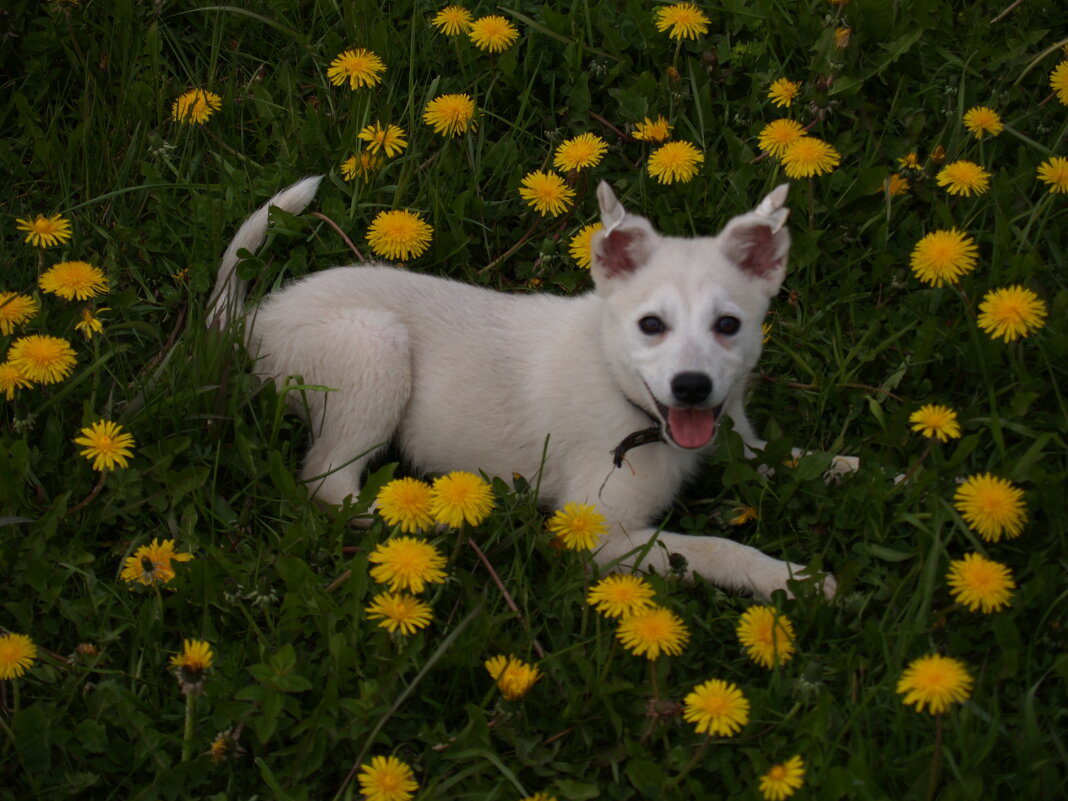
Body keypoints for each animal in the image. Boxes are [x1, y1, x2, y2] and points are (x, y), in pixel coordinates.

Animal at [210, 178, 841, 598]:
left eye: (728, 325)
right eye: (651, 325)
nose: (691, 388)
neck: (628, 397)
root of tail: (257, 320)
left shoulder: (736, 438)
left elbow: (791, 456)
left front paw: (856, 468)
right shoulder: (603, 535)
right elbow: (712, 546)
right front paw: (789, 577)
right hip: (375, 350)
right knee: (330, 486)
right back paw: (445, 524)